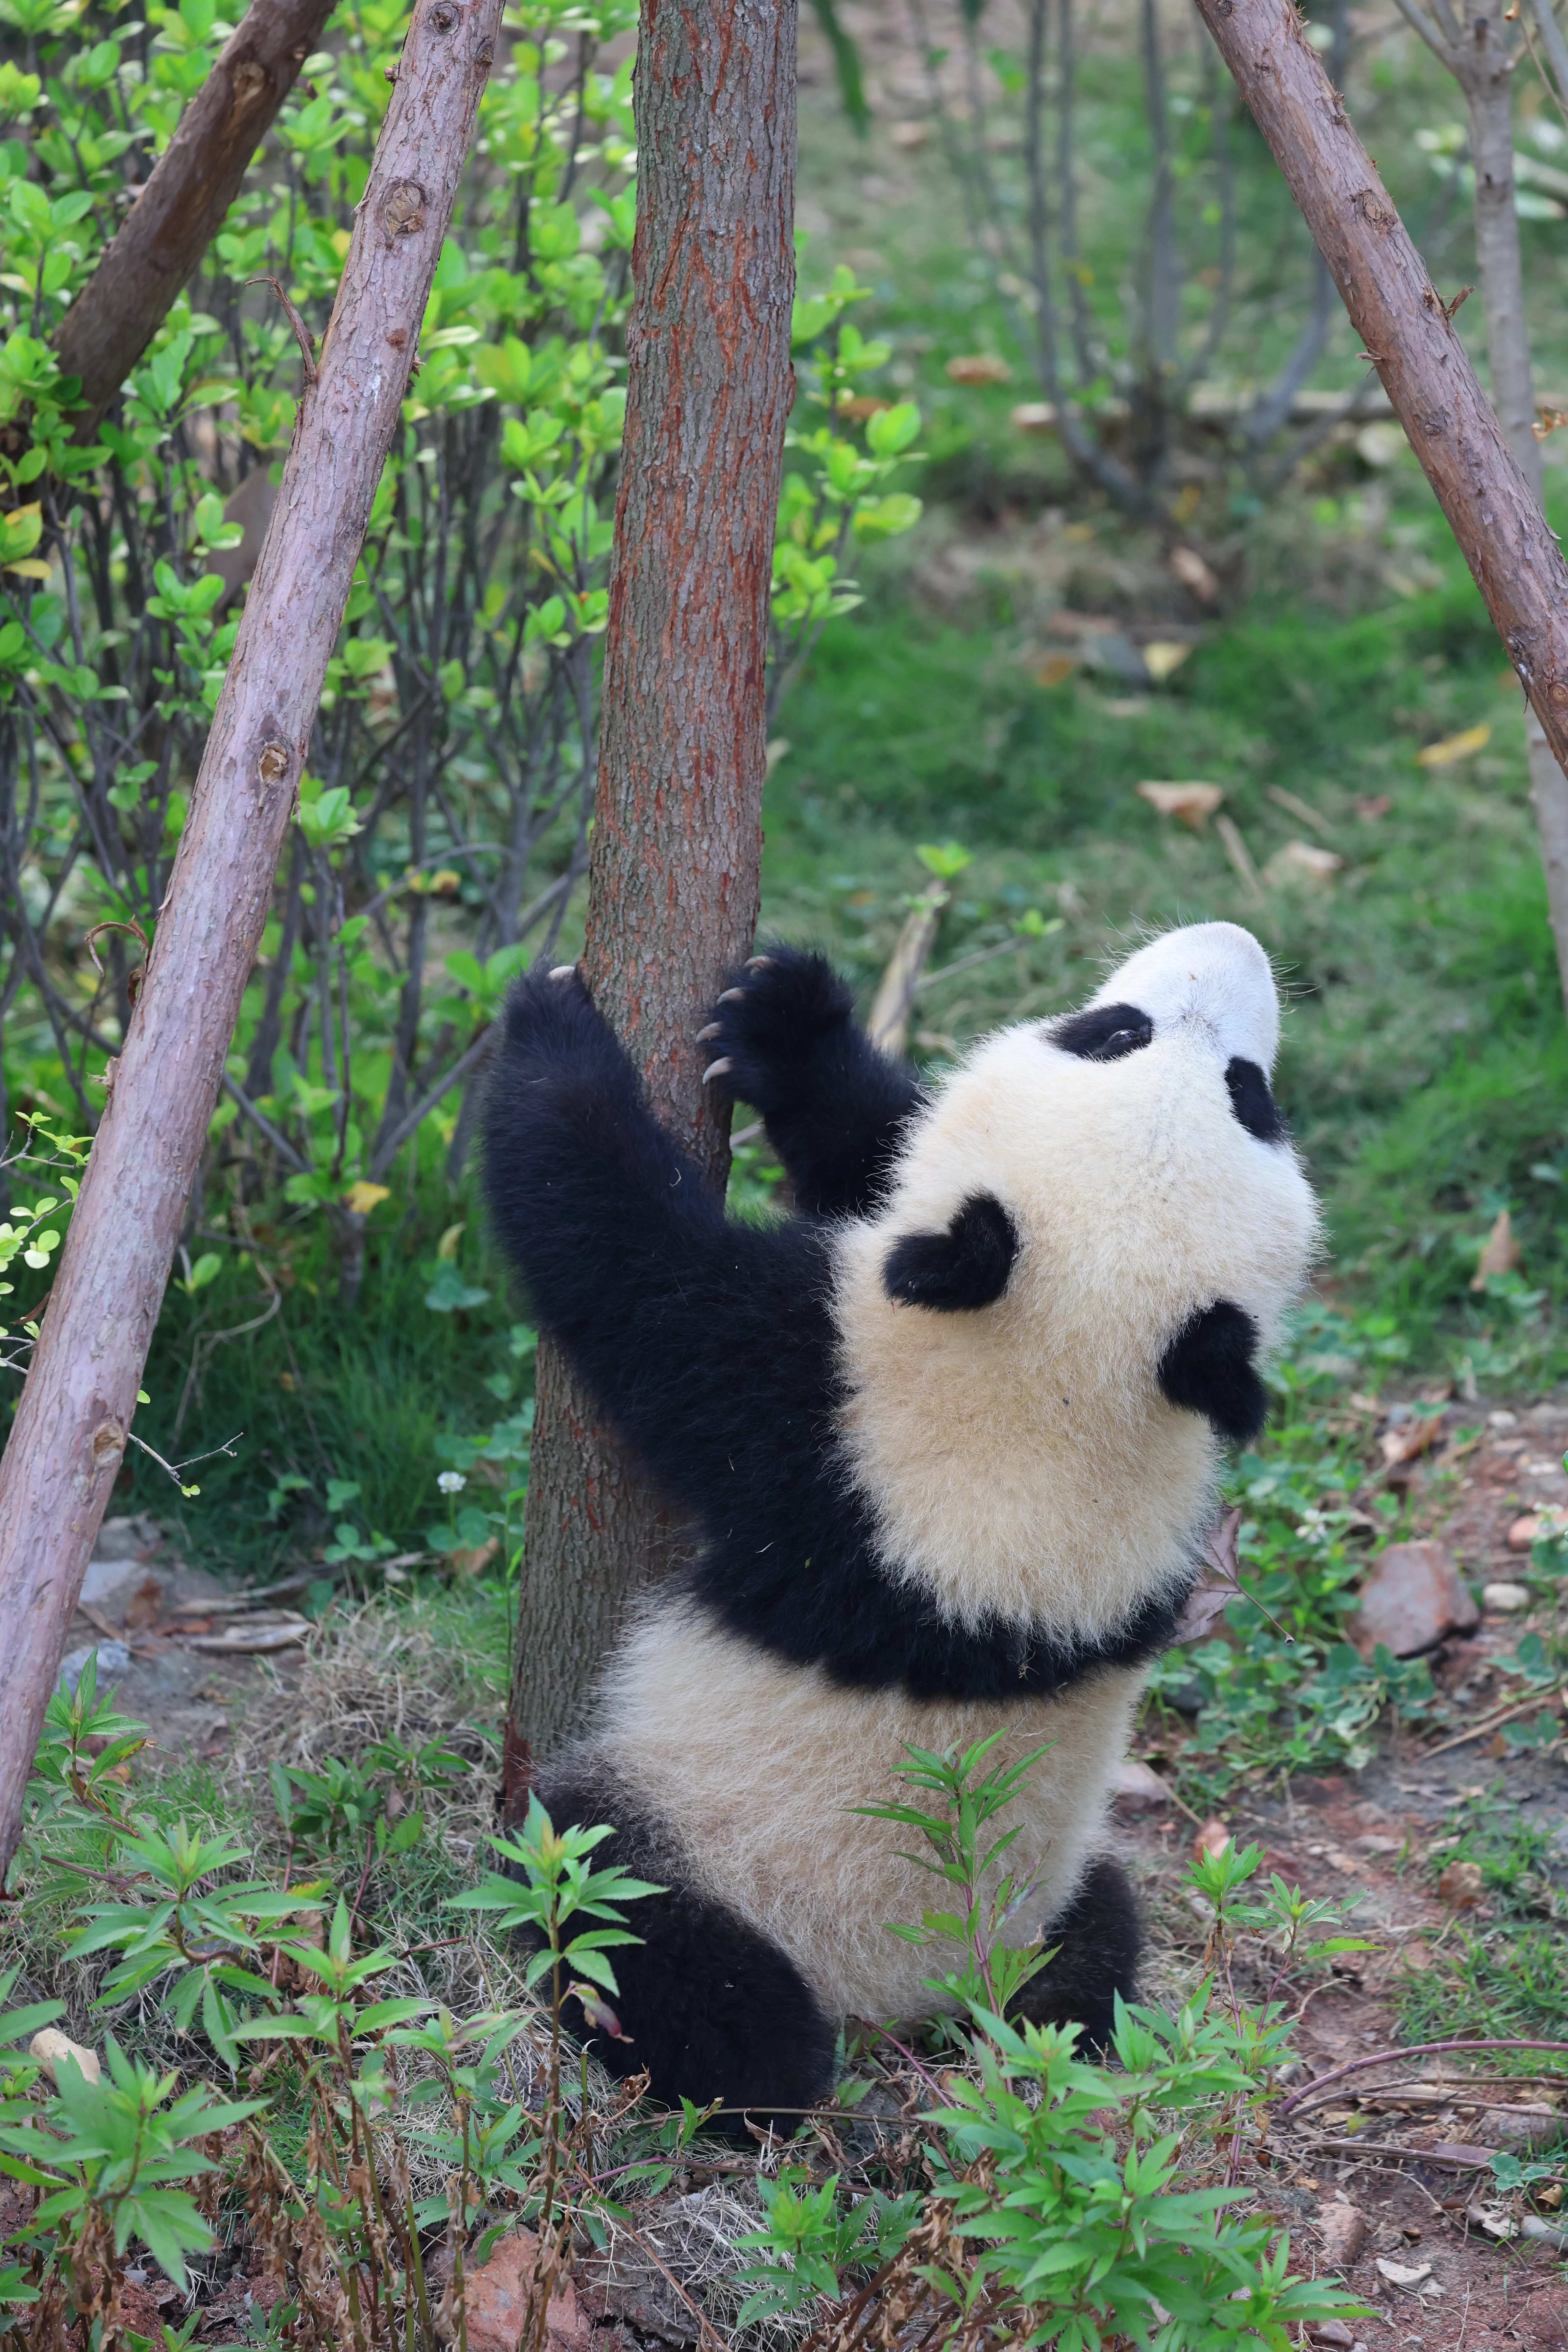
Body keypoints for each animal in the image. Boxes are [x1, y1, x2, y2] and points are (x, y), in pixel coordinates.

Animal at [482, 920, 1319, 2134]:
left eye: (1246, 1091)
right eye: (1118, 1032)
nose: (1238, 942)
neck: (1069, 1379)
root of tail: (904, 2005)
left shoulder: (829, 1416)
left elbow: (632, 1273)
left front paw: (550, 1031)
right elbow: (881, 1152)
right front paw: (786, 1022)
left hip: (695, 1849)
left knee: (632, 1923)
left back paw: (728, 2071)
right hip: (1050, 1904)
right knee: (1103, 1941)